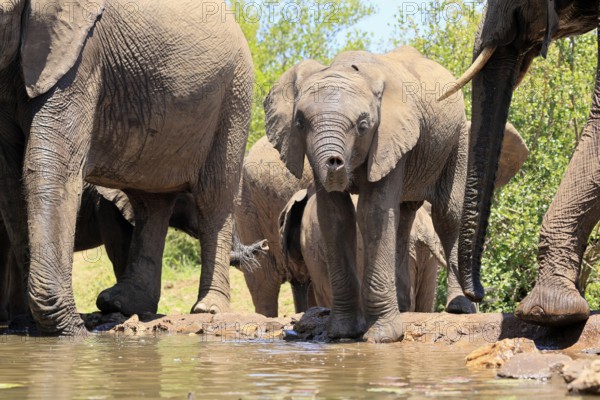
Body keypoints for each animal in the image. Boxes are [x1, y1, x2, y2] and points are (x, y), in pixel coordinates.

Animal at [0, 0, 253, 334]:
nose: (81, 327)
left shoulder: (81, 59)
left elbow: (51, 164)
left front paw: (71, 331)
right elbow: (12, 180)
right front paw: (40, 327)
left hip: (234, 97)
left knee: (214, 197)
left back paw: (207, 309)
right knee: (150, 202)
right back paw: (122, 304)